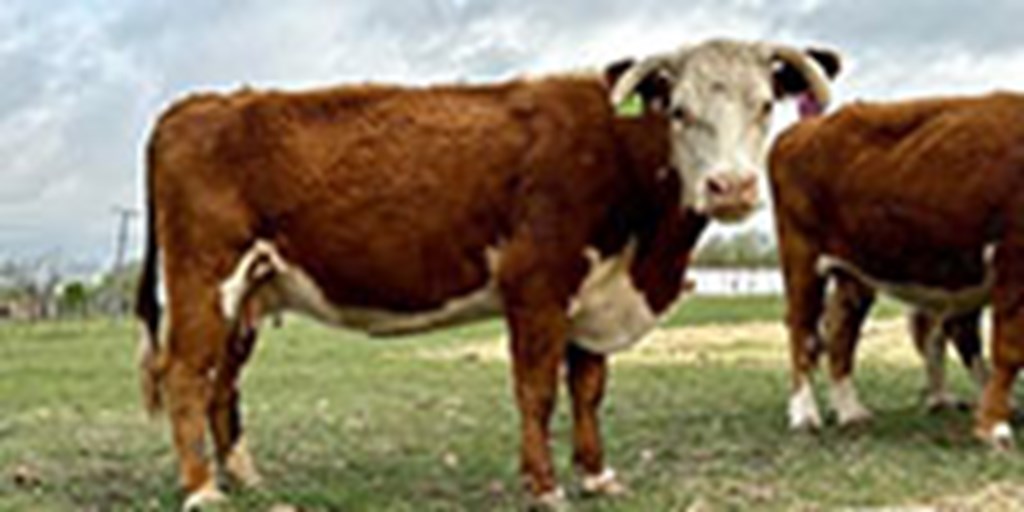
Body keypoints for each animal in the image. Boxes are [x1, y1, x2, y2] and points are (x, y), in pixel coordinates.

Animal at [136, 38, 839, 507]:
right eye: (679, 111)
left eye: (764, 104)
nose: (732, 186)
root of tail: (195, 105)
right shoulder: (537, 286)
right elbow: (538, 391)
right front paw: (545, 486)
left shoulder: (593, 297)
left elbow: (588, 390)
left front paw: (597, 475)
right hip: (205, 278)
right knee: (185, 376)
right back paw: (202, 490)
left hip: (249, 295)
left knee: (222, 381)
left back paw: (244, 477)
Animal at [770, 94, 1019, 446]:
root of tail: (804, 128)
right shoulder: (1012, 259)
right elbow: (1009, 349)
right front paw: (995, 426)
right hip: (802, 259)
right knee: (802, 331)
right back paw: (805, 415)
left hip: (852, 275)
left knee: (840, 331)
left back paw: (850, 411)